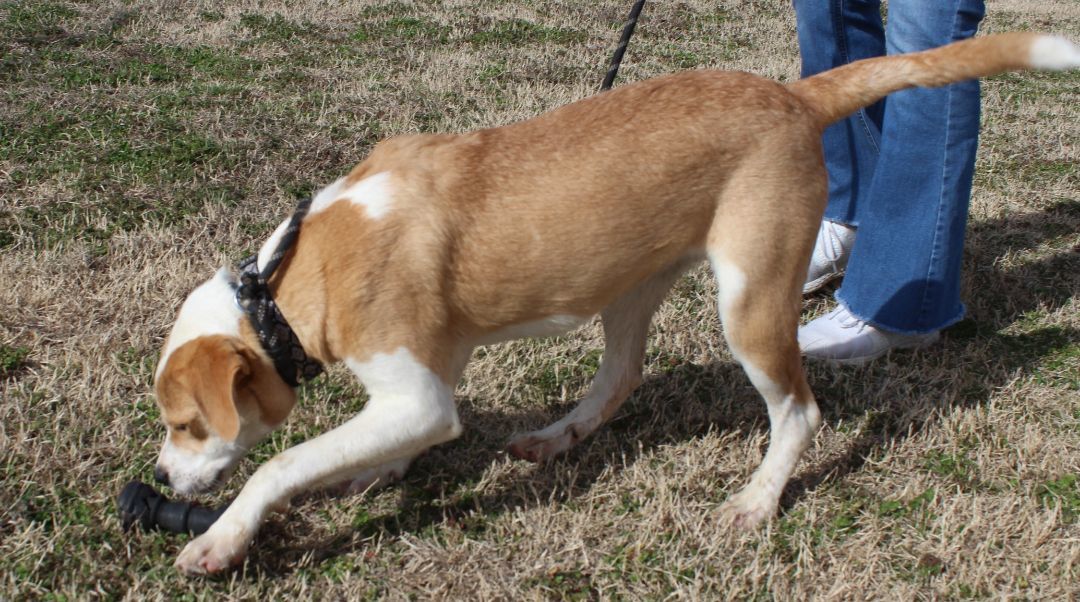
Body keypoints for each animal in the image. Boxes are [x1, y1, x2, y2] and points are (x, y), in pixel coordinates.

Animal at [147, 31, 1075, 570]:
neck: (291, 277)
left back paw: (757, 500)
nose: (159, 476)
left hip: (749, 299)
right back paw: (561, 436)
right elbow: (365, 444)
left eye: (187, 425)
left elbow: (284, 461)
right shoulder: (428, 378)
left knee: (800, 411)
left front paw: (221, 538)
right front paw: (376, 470)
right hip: (631, 282)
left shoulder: (418, 395)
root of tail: (795, 95)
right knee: (622, 375)